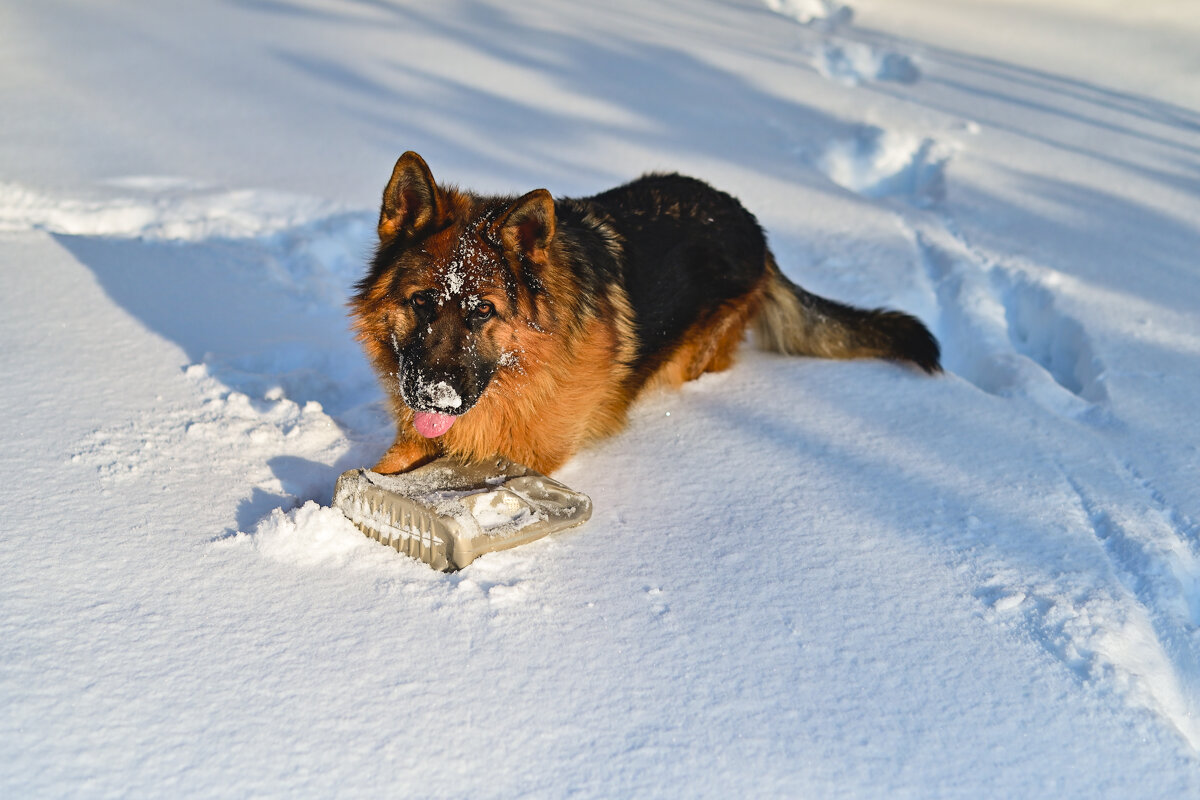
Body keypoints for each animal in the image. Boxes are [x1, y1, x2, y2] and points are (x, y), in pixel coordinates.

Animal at [350, 152, 940, 472]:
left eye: (482, 312)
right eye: (421, 301)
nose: (433, 396)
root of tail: (750, 221)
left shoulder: (528, 457)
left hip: (695, 354)